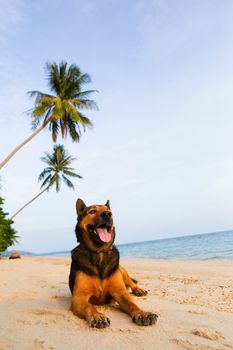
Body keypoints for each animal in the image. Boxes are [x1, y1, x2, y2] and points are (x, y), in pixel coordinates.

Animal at [68, 200, 157, 328]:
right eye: (92, 211)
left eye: (109, 211)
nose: (107, 214)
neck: (99, 252)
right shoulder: (78, 298)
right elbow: (89, 307)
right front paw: (98, 317)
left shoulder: (120, 293)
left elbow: (132, 304)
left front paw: (143, 314)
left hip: (122, 270)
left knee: (130, 282)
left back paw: (139, 290)